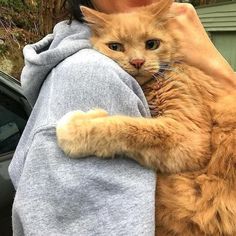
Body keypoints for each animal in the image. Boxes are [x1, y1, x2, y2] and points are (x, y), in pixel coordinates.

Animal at [56, 0, 236, 235]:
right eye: (115, 47)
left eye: (152, 44)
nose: (137, 61)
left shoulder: (189, 137)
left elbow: (128, 126)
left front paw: (77, 129)